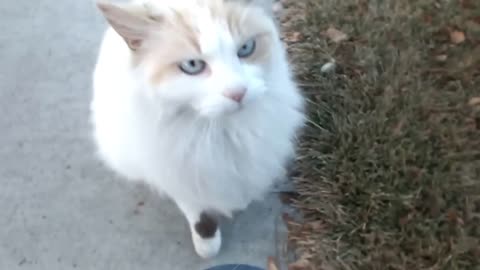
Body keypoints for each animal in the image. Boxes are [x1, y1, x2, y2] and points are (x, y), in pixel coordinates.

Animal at [92, 0, 306, 258]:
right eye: (192, 65)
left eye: (246, 48)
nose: (238, 92)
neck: (220, 131)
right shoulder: (181, 174)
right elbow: (200, 213)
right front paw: (207, 243)